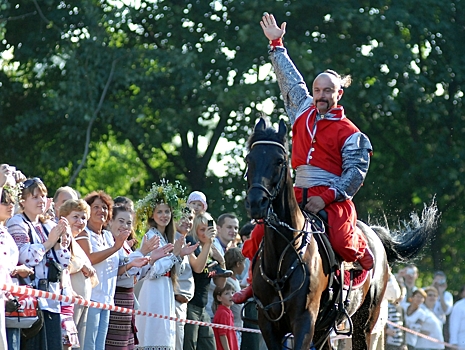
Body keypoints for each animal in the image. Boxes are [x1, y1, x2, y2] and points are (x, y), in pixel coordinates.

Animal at [245, 118, 436, 350]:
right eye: (249, 159)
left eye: (280, 161)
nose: (256, 203)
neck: (284, 254)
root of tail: (374, 234)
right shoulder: (268, 324)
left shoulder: (304, 320)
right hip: (325, 328)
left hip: (364, 323)